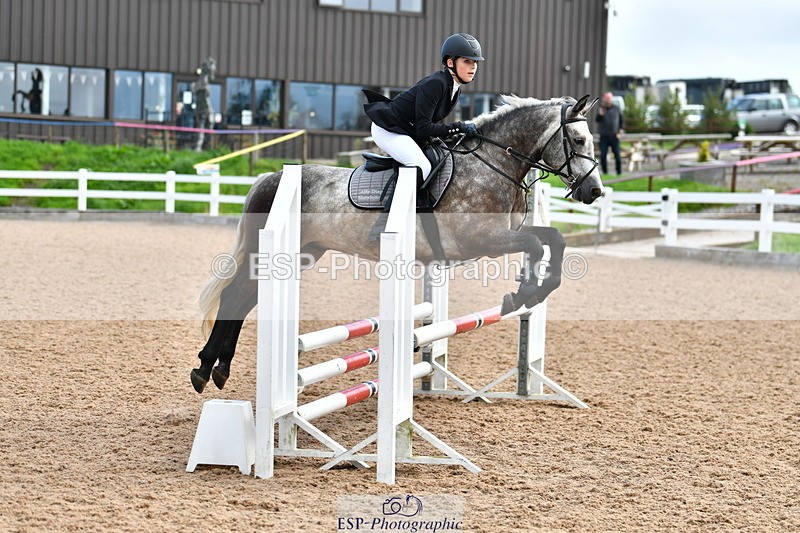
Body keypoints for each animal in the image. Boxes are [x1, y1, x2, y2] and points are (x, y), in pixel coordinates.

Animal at [190, 94, 603, 393]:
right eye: (578, 140)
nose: (594, 191)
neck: (493, 164)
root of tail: (271, 178)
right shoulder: (481, 239)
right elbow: (534, 244)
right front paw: (520, 295)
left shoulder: (502, 235)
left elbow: (553, 240)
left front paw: (534, 290)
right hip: (270, 253)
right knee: (235, 296)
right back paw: (205, 367)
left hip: (303, 253)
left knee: (245, 300)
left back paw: (218, 369)